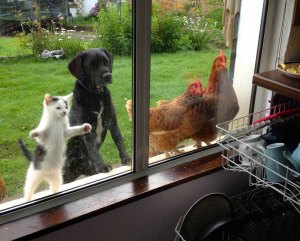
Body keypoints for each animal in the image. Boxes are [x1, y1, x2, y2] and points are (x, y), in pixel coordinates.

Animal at [63, 47, 131, 183]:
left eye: (106, 62)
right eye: (92, 65)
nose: (108, 75)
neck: (96, 94)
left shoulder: (112, 121)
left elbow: (119, 140)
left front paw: (125, 158)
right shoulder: (87, 129)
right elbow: (93, 149)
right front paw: (102, 166)